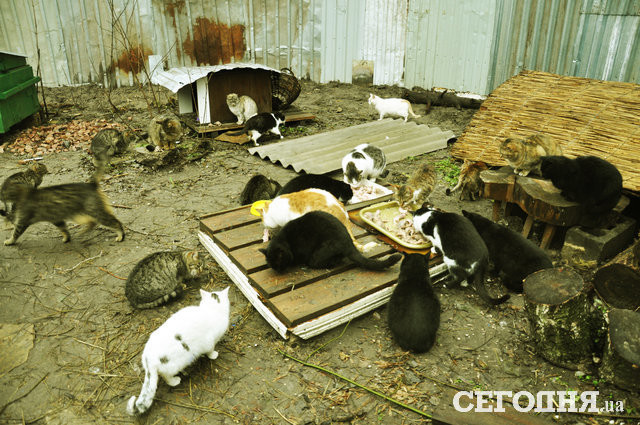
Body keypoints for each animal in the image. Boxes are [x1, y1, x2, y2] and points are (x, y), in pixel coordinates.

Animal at [127, 287, 230, 416]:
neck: (211, 310)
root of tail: (147, 358)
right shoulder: (209, 342)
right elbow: (210, 351)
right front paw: (214, 355)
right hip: (174, 365)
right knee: (166, 377)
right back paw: (175, 380)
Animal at [259, 210, 401, 272]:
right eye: (272, 266)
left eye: (279, 263)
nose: (278, 271)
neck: (285, 240)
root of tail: (348, 242)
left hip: (318, 254)